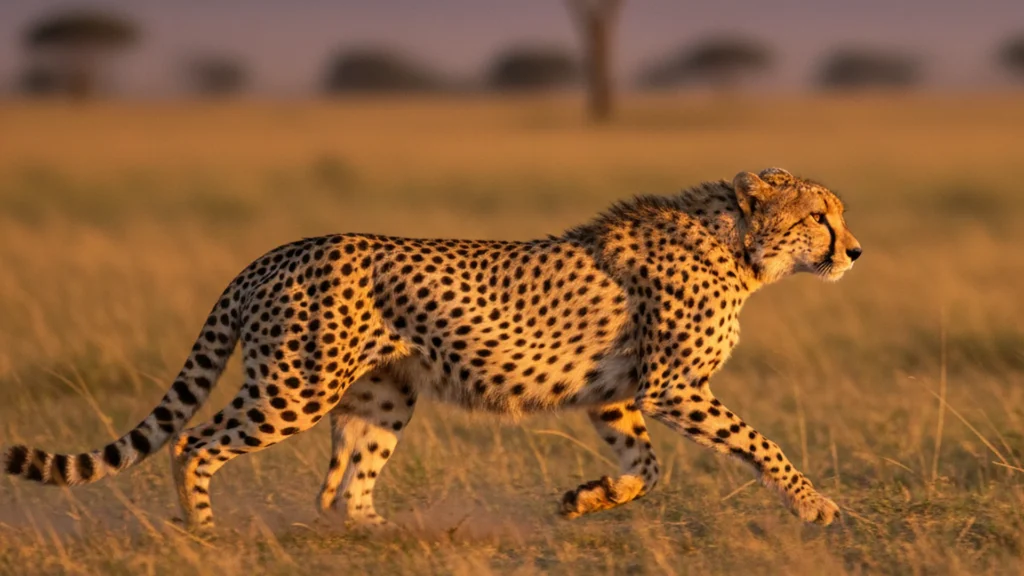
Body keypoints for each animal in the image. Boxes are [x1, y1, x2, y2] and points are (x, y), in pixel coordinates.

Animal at [3, 167, 861, 531]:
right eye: (819, 216)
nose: (854, 251)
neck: (737, 247)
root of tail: (275, 252)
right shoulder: (673, 387)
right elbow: (760, 444)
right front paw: (814, 504)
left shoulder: (616, 394)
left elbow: (644, 468)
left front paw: (586, 499)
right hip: (293, 387)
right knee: (194, 441)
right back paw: (207, 533)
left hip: (383, 393)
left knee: (346, 482)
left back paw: (381, 532)